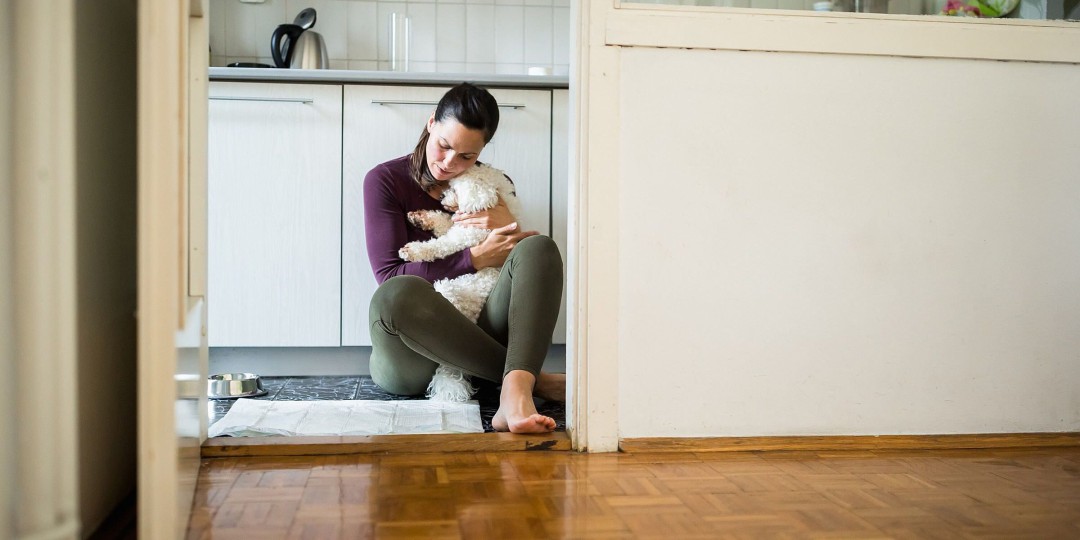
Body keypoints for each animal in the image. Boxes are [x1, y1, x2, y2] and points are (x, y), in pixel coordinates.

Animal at [399, 162, 520, 403]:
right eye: (450, 185)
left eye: (455, 189)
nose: (442, 195)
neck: (492, 201)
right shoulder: (456, 226)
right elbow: (443, 221)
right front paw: (420, 217)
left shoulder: (464, 237)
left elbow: (438, 246)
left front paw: (412, 251)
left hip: (449, 288)